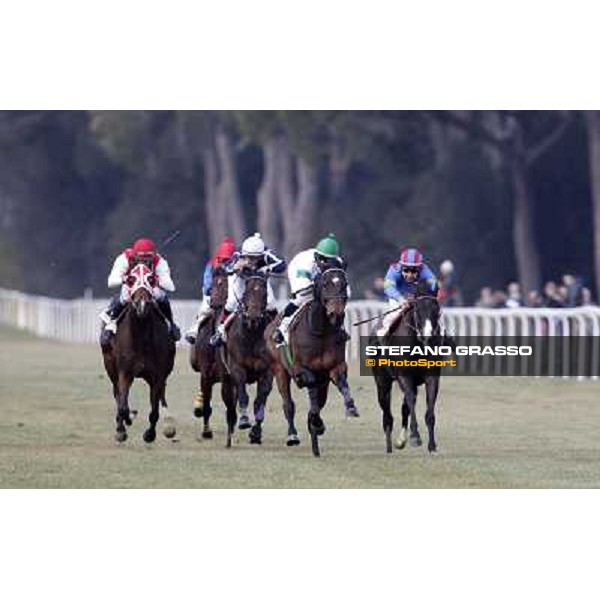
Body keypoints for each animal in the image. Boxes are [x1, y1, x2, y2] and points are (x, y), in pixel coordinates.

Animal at [100, 264, 176, 442]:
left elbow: (154, 410)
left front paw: (150, 434)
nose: (141, 304)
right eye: (130, 279)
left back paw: (168, 424)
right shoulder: (125, 372)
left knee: (162, 394)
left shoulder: (157, 374)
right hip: (111, 367)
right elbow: (122, 405)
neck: (141, 339)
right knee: (117, 394)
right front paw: (123, 426)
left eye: (151, 278)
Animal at [221, 276, 276, 446]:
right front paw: (244, 420)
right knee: (231, 403)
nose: (253, 317)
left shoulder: (267, 371)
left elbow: (260, 400)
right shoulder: (237, 368)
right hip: (226, 378)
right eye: (246, 293)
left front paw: (256, 432)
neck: (251, 335)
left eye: (264, 294)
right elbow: (243, 395)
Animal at [268, 264, 356, 458]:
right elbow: (309, 385)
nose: (336, 312)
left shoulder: (335, 367)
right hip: (279, 370)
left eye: (345, 283)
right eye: (324, 284)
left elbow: (341, 383)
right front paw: (314, 422)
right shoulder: (300, 368)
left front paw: (350, 407)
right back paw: (293, 435)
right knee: (289, 404)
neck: (320, 331)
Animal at [372, 284, 442, 452]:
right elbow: (410, 401)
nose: (428, 336)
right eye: (417, 310)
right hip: (382, 381)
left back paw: (400, 440)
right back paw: (389, 445)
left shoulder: (432, 377)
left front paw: (432, 445)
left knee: (404, 408)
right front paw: (415, 436)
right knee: (387, 413)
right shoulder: (404, 377)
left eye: (437, 310)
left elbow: (428, 411)